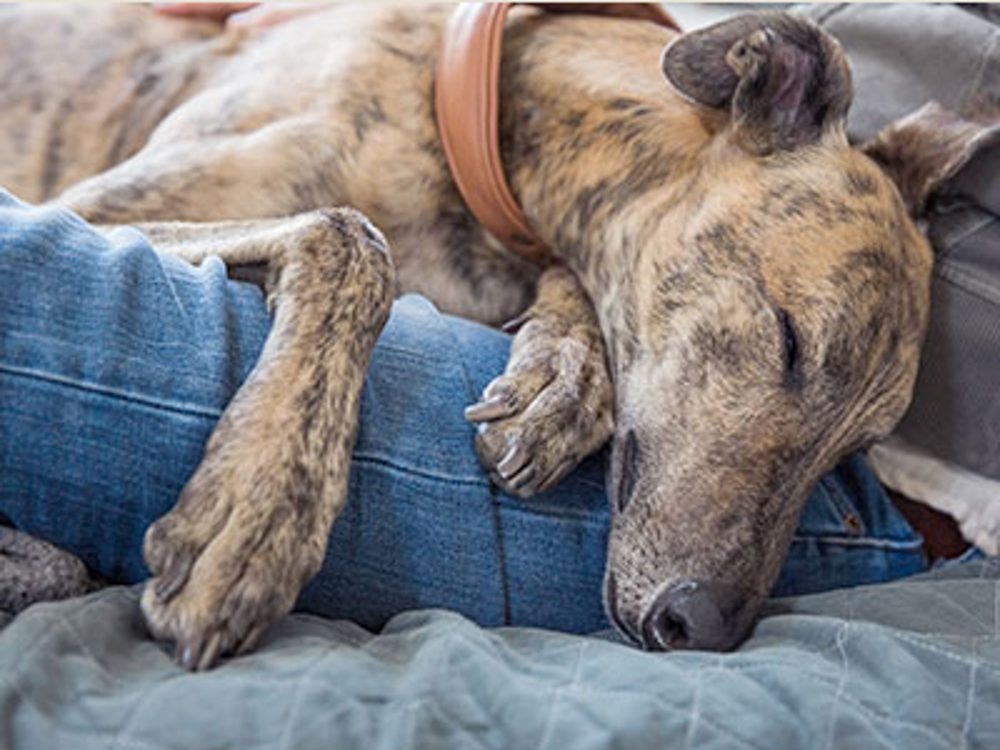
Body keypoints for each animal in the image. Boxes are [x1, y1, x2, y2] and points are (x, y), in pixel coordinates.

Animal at [0, 2, 992, 672]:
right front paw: (254, 520)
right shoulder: (78, 210)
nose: (701, 628)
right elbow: (351, 236)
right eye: (787, 340)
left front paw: (563, 375)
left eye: (853, 454)